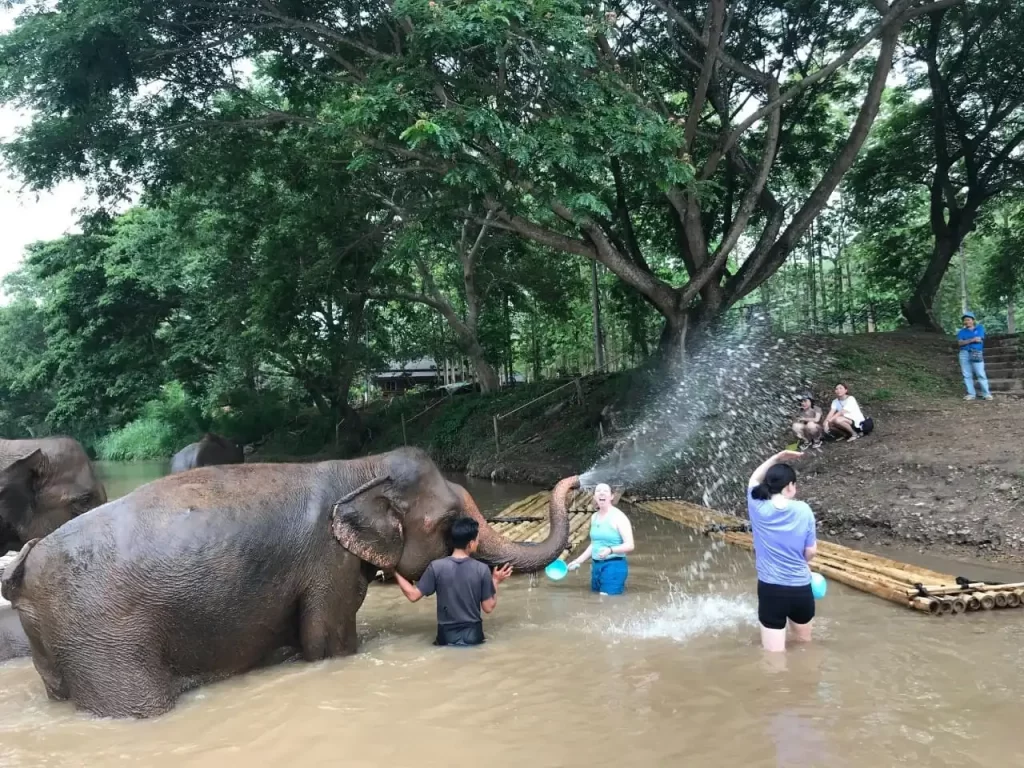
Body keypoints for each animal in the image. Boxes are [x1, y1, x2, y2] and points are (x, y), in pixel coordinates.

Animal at [0, 448, 577, 724]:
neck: (358, 468)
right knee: (140, 706)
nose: (576, 479)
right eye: (453, 522)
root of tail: (25, 567)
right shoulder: (326, 564)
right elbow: (327, 643)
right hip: (103, 637)